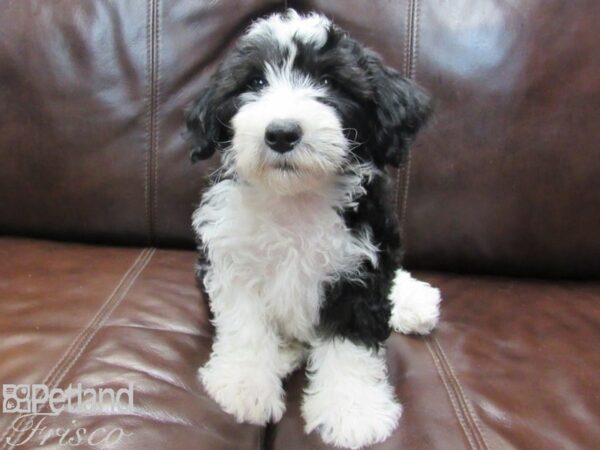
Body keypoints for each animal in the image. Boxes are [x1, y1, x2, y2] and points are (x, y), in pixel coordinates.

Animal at [186, 8, 440, 448]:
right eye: (255, 83)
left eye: (329, 83)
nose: (281, 133)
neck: (295, 198)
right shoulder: (231, 259)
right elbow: (245, 326)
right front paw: (244, 385)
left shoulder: (361, 271)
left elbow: (351, 347)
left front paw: (353, 410)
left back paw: (414, 301)